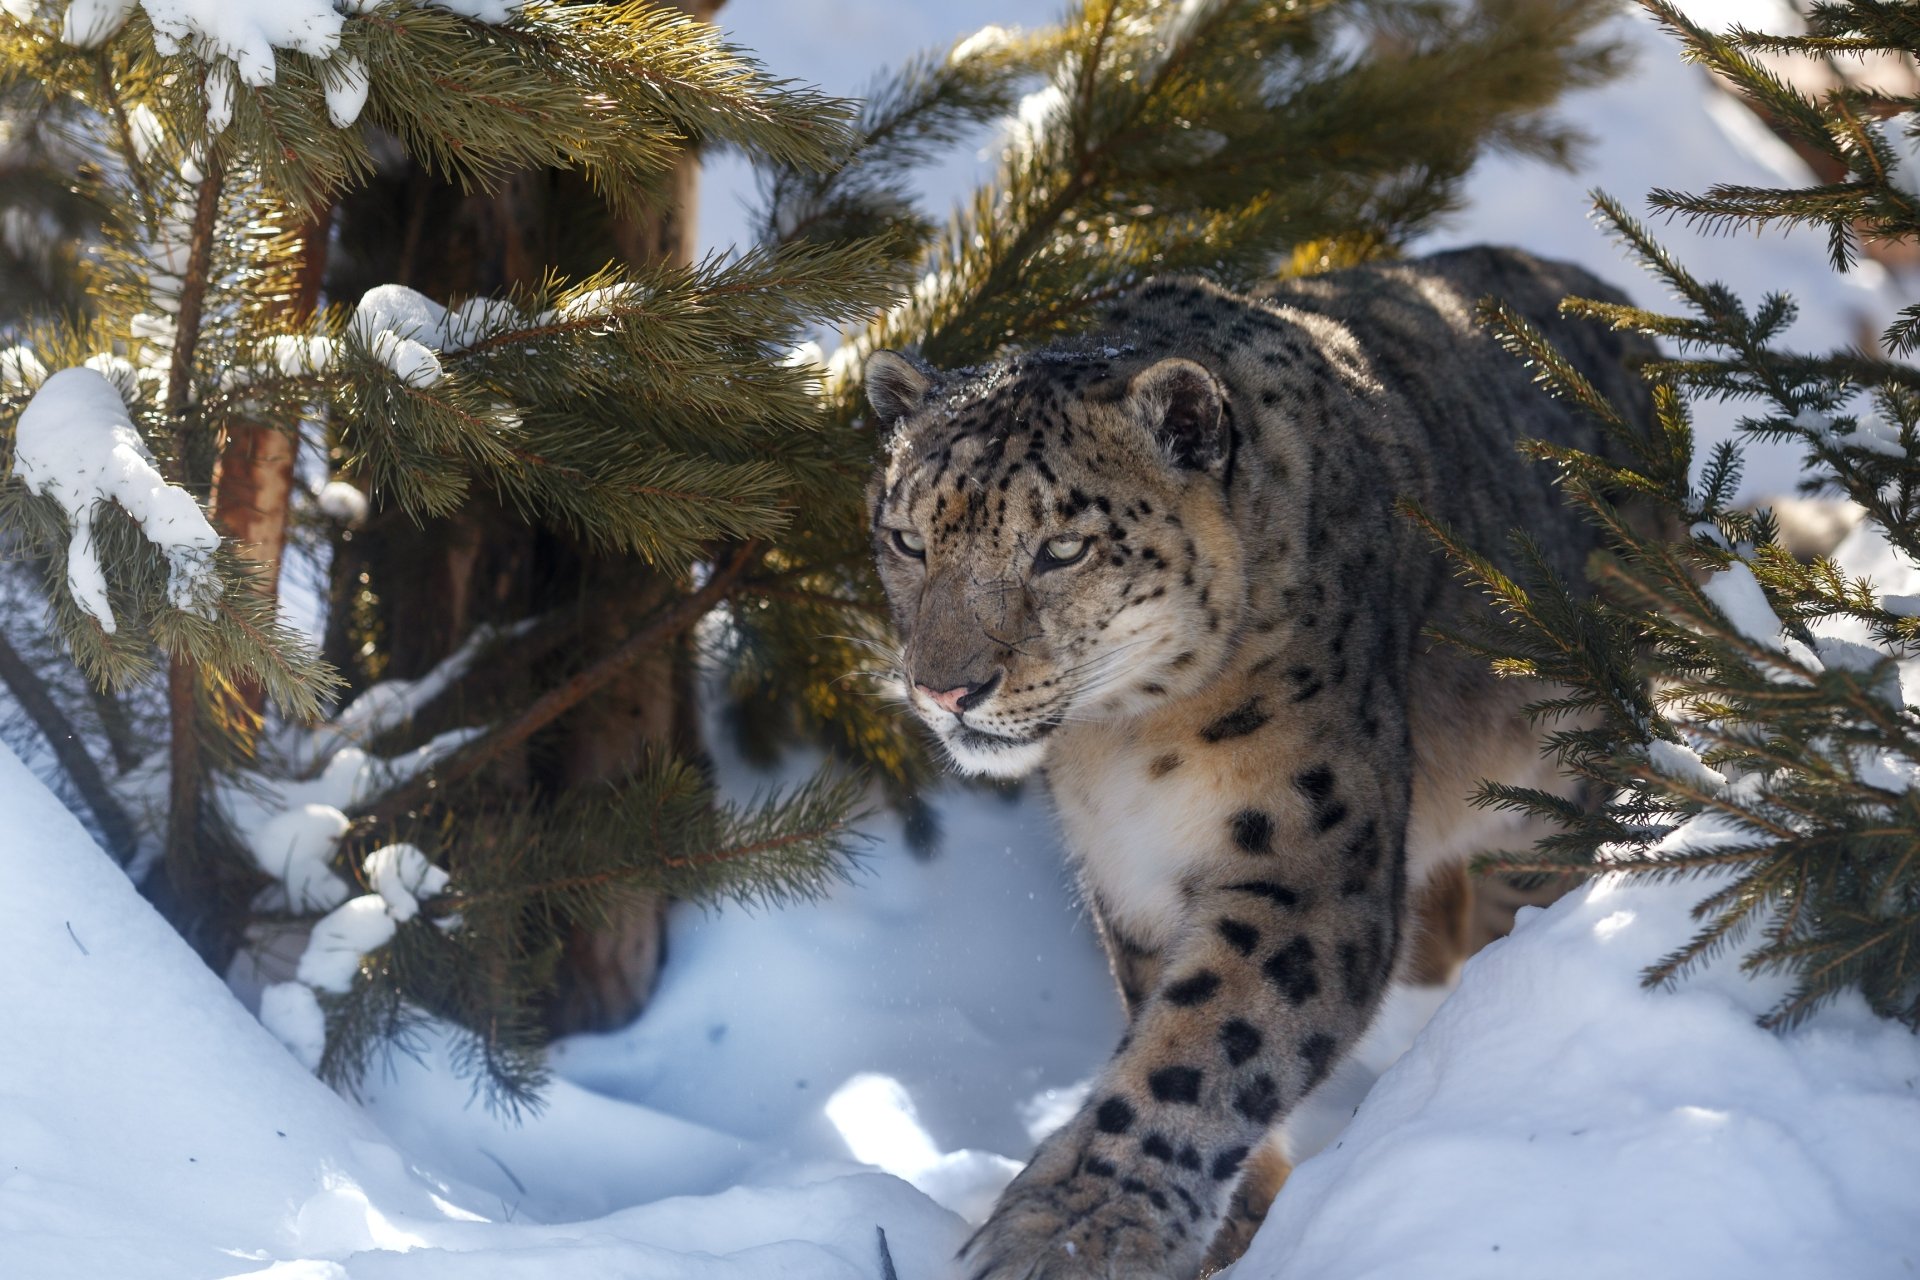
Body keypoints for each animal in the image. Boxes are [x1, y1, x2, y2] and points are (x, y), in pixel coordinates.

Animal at [863, 245, 1656, 1280]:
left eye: (1062, 549)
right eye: (907, 539)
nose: (944, 689)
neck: (1122, 744)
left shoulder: (1303, 856)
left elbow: (1202, 1049)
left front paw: (1070, 1232)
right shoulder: (1133, 872)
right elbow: (1167, 1019)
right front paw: (1235, 1230)